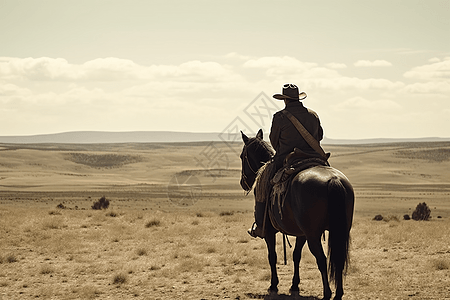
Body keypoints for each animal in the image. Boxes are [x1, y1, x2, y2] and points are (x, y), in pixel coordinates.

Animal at [241, 129, 354, 300]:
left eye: (242, 156)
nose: (243, 183)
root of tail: (334, 180)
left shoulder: (269, 231)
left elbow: (272, 256)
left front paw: (273, 285)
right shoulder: (302, 233)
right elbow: (296, 255)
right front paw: (294, 285)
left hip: (314, 236)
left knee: (321, 259)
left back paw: (327, 293)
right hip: (340, 230)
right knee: (338, 258)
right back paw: (338, 294)